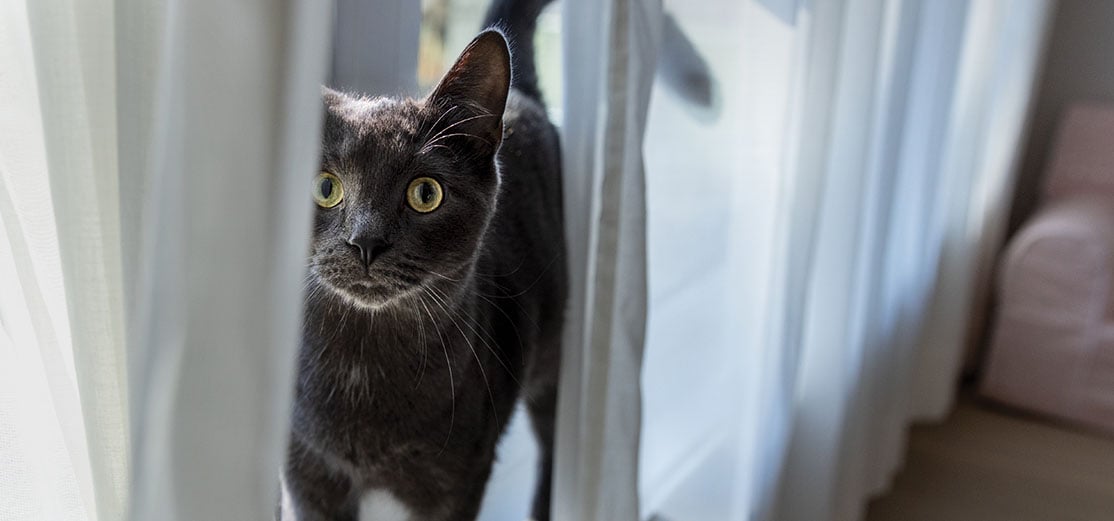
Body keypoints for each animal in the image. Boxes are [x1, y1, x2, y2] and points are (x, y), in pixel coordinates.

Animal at [282, 1, 565, 521]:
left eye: (425, 194)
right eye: (325, 186)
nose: (365, 241)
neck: (364, 368)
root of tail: (524, 96)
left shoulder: (458, 479)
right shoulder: (306, 473)